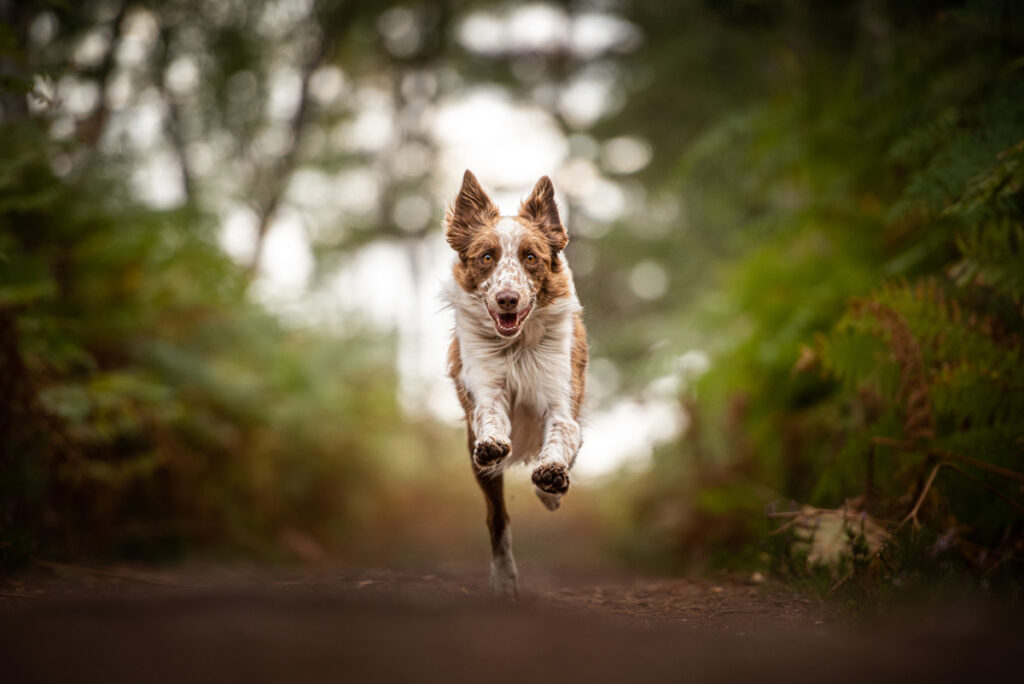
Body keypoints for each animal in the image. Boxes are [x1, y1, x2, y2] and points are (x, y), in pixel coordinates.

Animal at [444, 171, 589, 597]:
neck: (517, 347)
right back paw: (504, 578)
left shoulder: (562, 403)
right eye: (486, 257)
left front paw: (552, 476)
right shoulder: (484, 390)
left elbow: (560, 438)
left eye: (530, 257)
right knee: (497, 517)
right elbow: (491, 417)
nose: (507, 299)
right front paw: (494, 442)